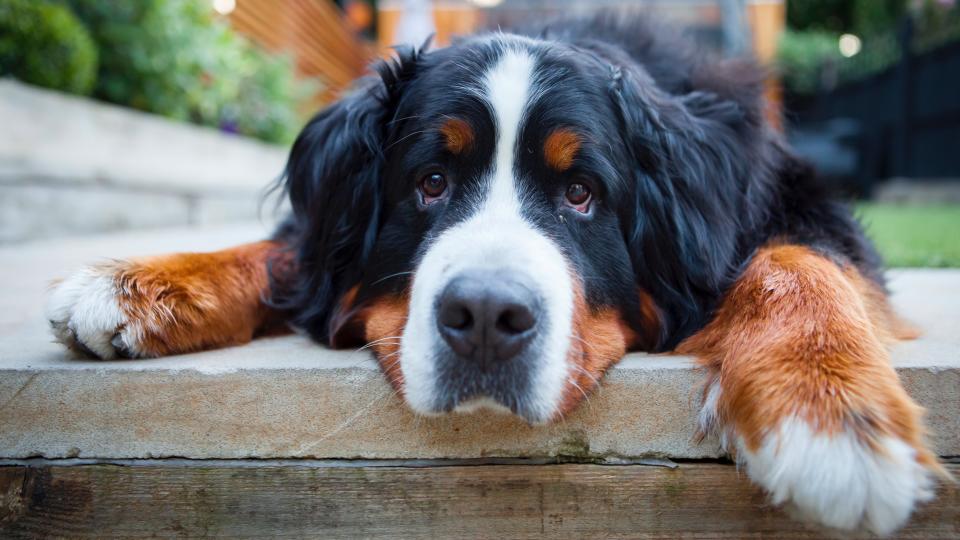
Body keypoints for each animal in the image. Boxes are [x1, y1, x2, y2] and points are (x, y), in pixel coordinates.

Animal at [45, 13, 944, 536]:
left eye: (582, 194)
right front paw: (138, 284)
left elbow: (797, 261)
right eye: (430, 182)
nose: (483, 316)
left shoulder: (795, 203)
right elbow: (285, 252)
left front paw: (828, 416)